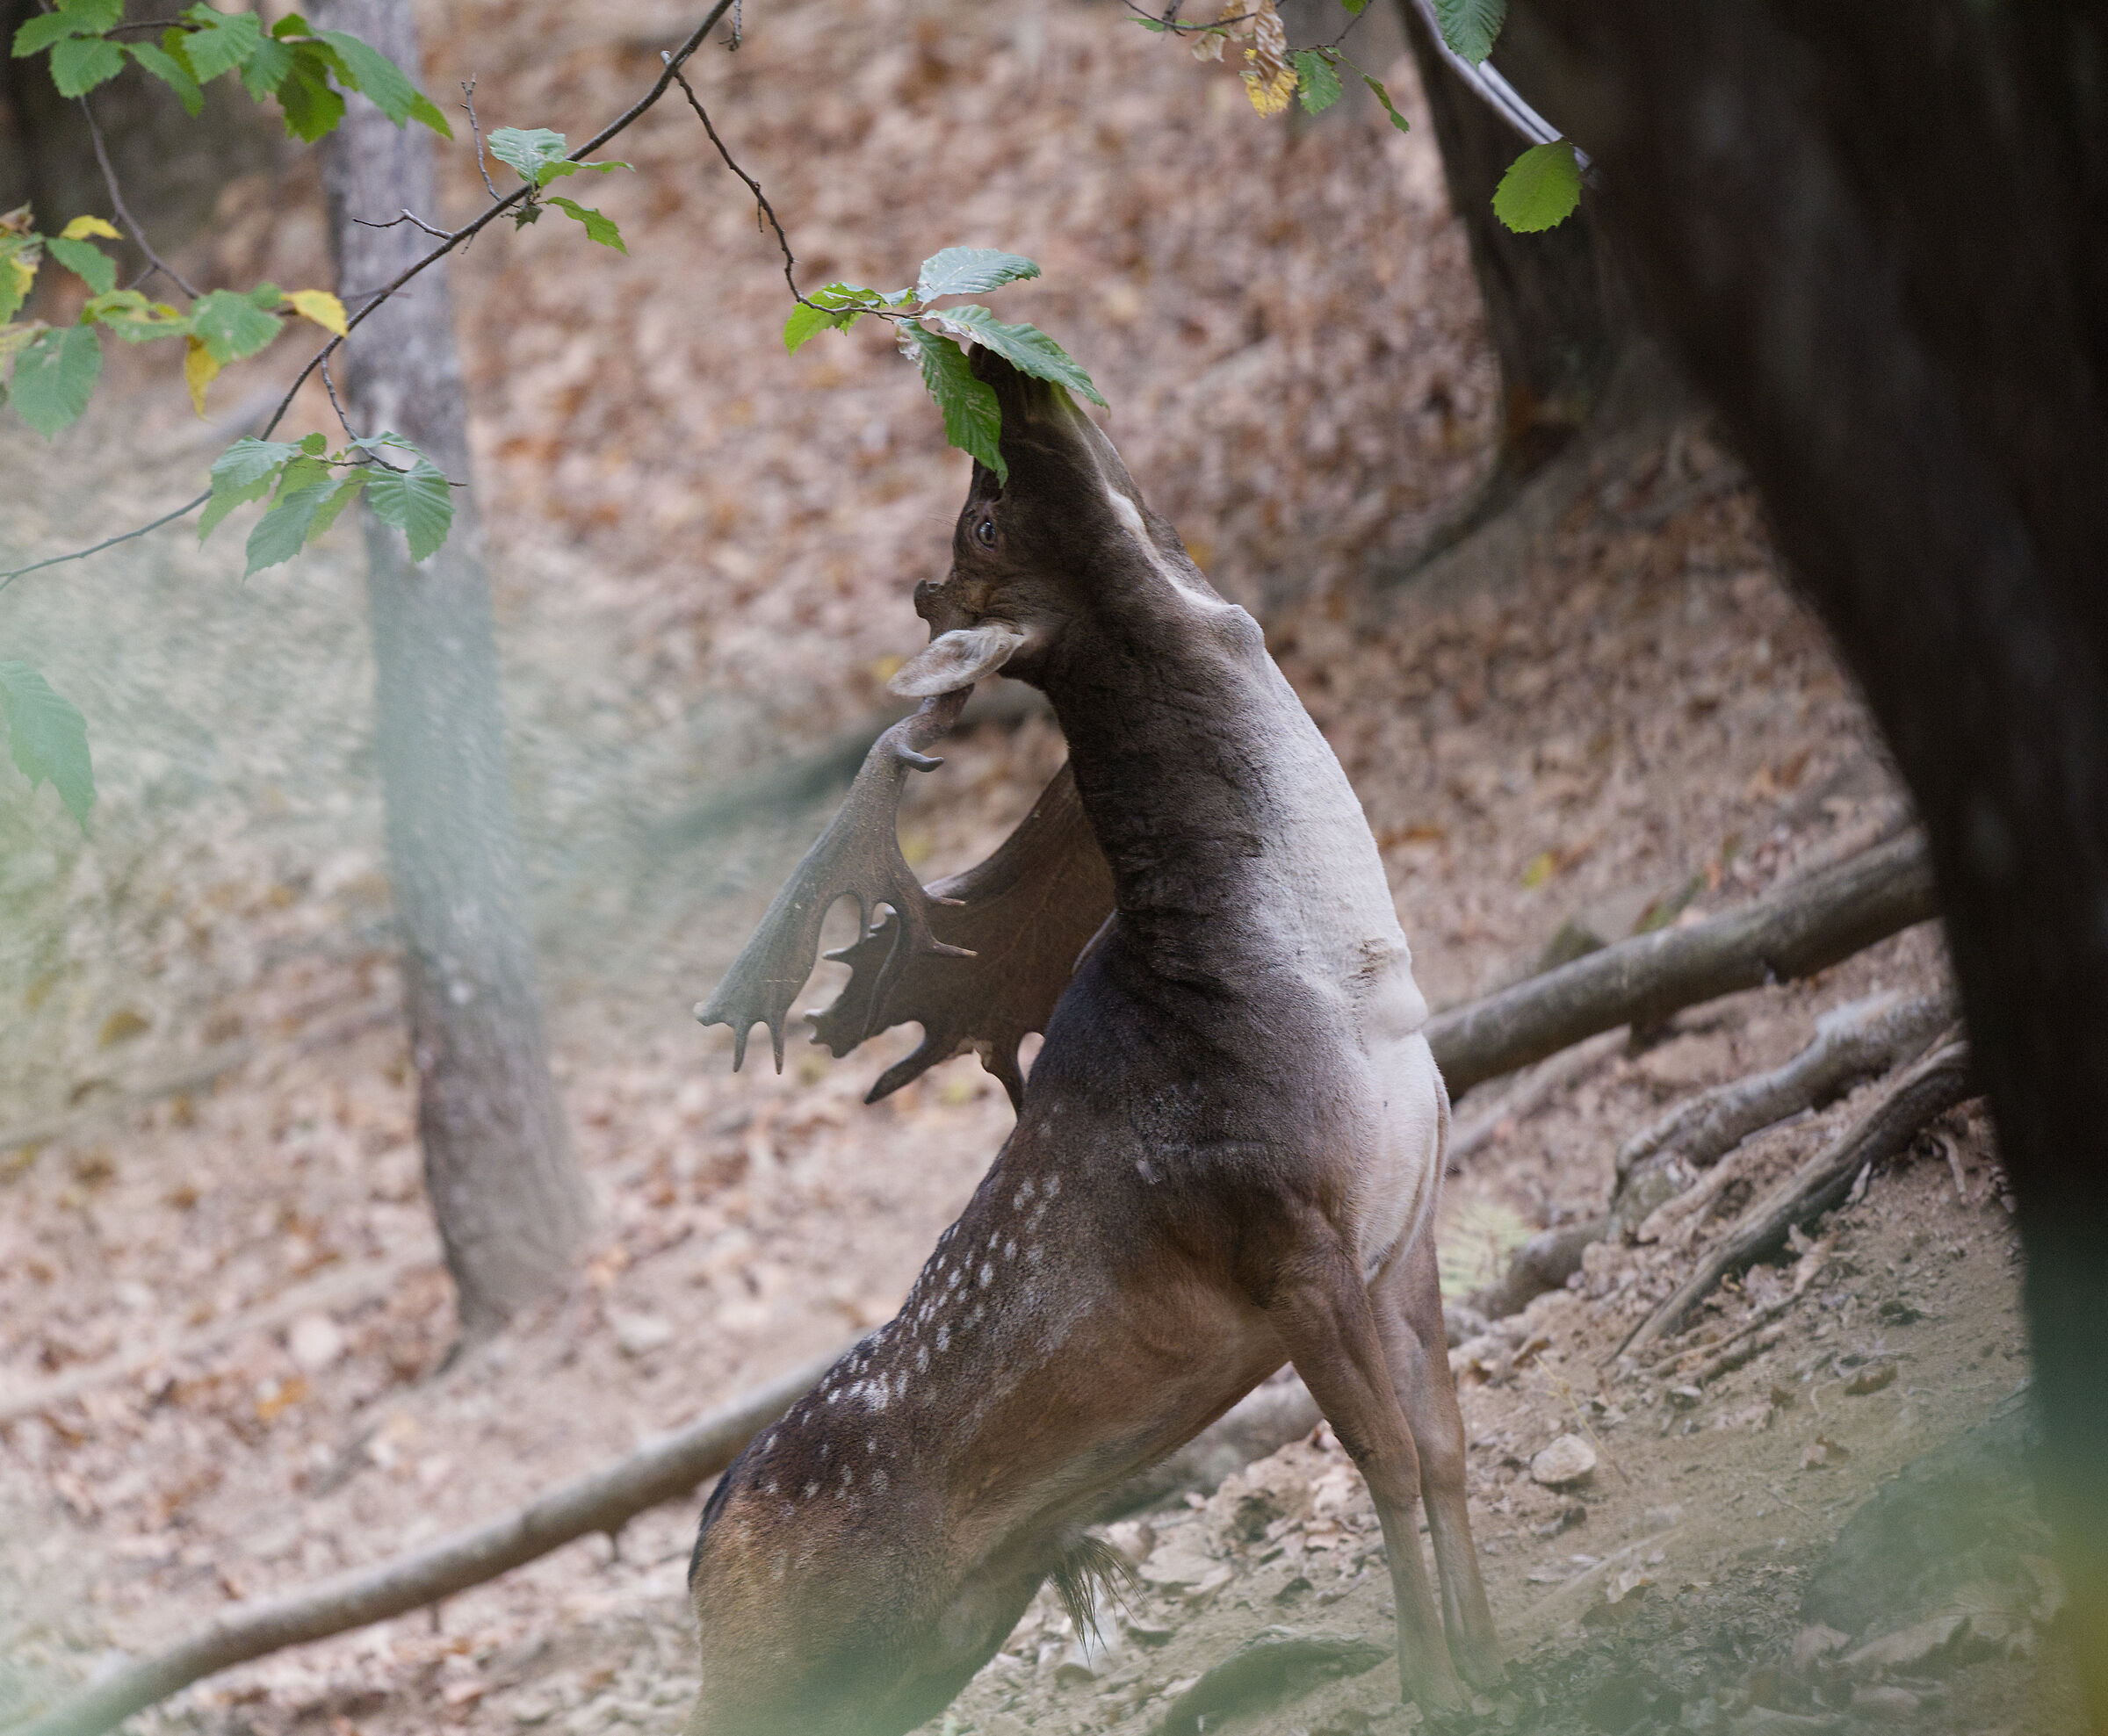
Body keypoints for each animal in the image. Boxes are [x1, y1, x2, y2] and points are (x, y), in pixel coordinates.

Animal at [684, 350, 1498, 1736]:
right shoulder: (1287, 1235)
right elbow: (1383, 1457)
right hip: (783, 1666)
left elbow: (1445, 1446)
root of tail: (697, 1550)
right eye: (986, 521)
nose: (988, 362)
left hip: (935, 1637)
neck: (1347, 991)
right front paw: (1437, 1685)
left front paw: (1509, 1660)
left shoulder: (1408, 1217)